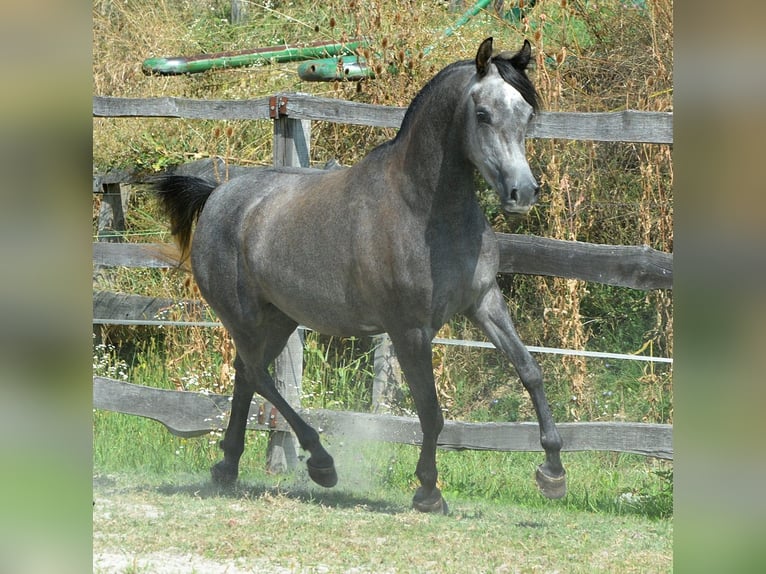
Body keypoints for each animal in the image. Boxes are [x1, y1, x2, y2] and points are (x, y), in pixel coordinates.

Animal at [153, 38, 568, 512]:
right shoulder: (409, 330)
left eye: (527, 114)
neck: (422, 209)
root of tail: (217, 194)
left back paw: (228, 466)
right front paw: (428, 491)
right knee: (258, 375)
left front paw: (553, 472)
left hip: (280, 318)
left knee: (246, 375)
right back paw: (320, 462)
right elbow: (430, 410)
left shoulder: (483, 302)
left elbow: (529, 369)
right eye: (482, 114)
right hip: (243, 317)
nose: (523, 192)